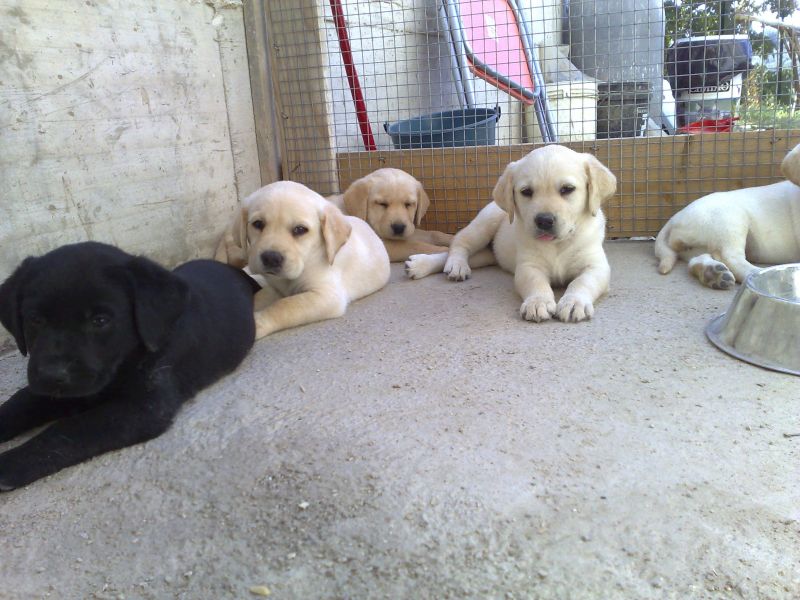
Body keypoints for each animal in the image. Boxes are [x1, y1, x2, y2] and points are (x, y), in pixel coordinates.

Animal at [0, 241, 258, 490]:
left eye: (100, 320)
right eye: (35, 319)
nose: (51, 375)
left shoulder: (145, 406)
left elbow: (68, 429)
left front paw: (10, 463)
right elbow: (19, 403)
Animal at [212, 179, 388, 338]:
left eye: (300, 230)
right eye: (258, 224)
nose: (270, 258)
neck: (308, 260)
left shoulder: (327, 295)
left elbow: (285, 305)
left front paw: (258, 323)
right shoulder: (275, 288)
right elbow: (258, 297)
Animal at [406, 144, 620, 324]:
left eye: (567, 189)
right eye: (526, 192)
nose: (544, 220)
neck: (557, 244)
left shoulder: (596, 265)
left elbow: (583, 281)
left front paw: (574, 302)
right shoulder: (528, 266)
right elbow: (536, 282)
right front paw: (538, 302)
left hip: (490, 254)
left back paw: (421, 264)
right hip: (483, 225)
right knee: (459, 244)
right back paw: (452, 265)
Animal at [656, 143, 800, 288]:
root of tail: (675, 218)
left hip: (695, 246)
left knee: (697, 259)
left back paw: (711, 273)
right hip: (730, 221)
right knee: (730, 257)